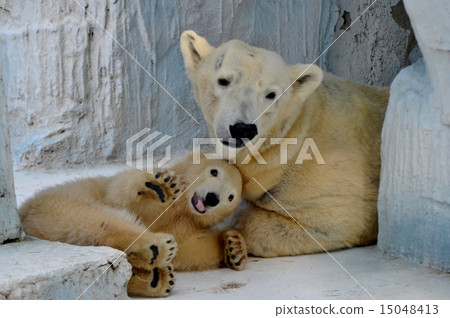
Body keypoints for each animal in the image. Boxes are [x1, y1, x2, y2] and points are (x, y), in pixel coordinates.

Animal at [18, 155, 246, 296]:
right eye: (214, 171)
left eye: (231, 196)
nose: (212, 198)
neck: (183, 207)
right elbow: (119, 195)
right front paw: (160, 186)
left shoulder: (186, 223)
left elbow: (189, 249)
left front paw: (234, 247)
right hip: (55, 206)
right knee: (97, 220)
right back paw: (154, 248)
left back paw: (156, 279)